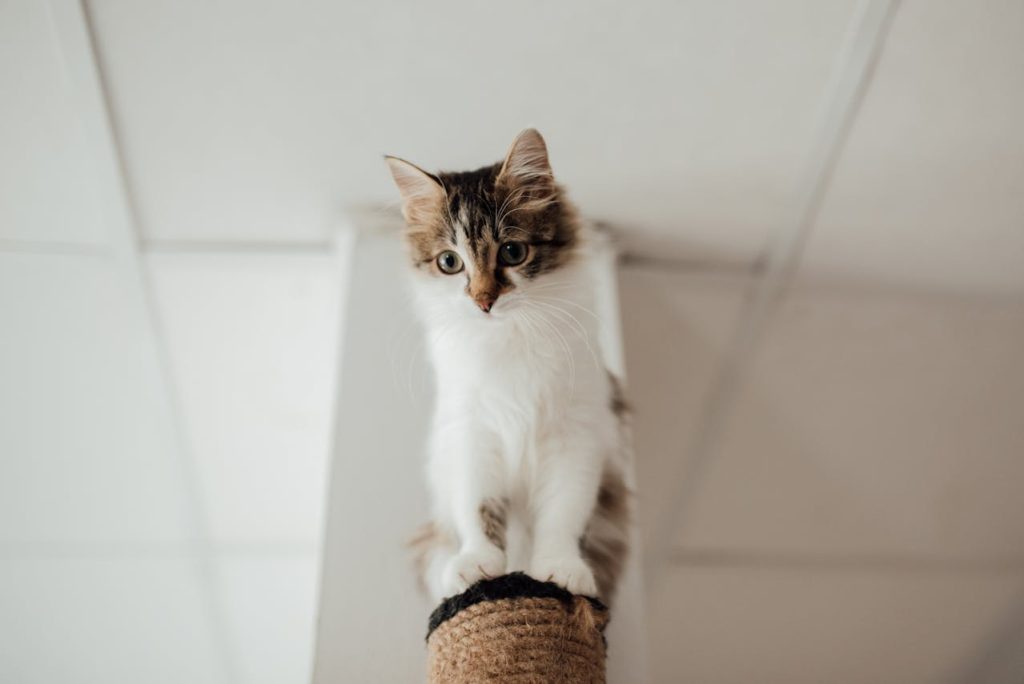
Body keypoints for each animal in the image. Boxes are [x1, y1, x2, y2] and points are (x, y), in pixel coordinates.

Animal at [385, 127, 630, 602]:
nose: (484, 301)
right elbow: (478, 508)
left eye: (513, 252)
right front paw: (478, 566)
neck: (509, 338)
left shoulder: (576, 436)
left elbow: (563, 513)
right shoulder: (473, 433)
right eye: (449, 262)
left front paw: (559, 569)